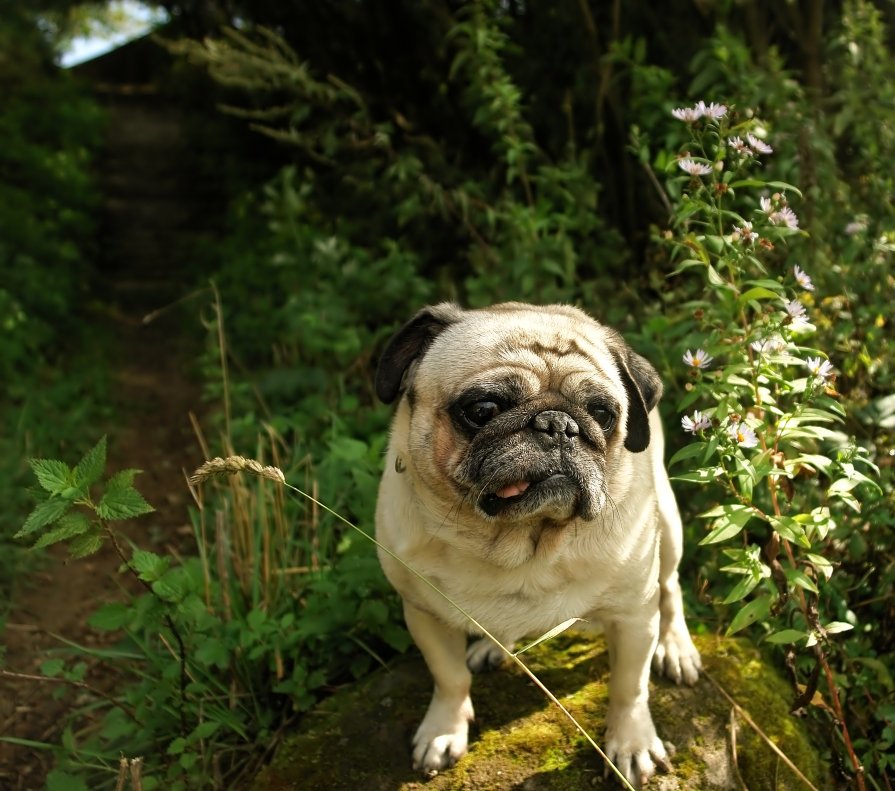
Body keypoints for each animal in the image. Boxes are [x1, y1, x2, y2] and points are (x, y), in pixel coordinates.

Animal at [374, 302, 704, 784]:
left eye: (603, 414)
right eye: (482, 408)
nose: (558, 424)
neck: (522, 542)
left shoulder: (632, 617)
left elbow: (630, 688)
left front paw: (631, 742)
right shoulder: (424, 614)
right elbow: (450, 678)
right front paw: (443, 731)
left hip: (668, 526)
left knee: (670, 587)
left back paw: (676, 648)